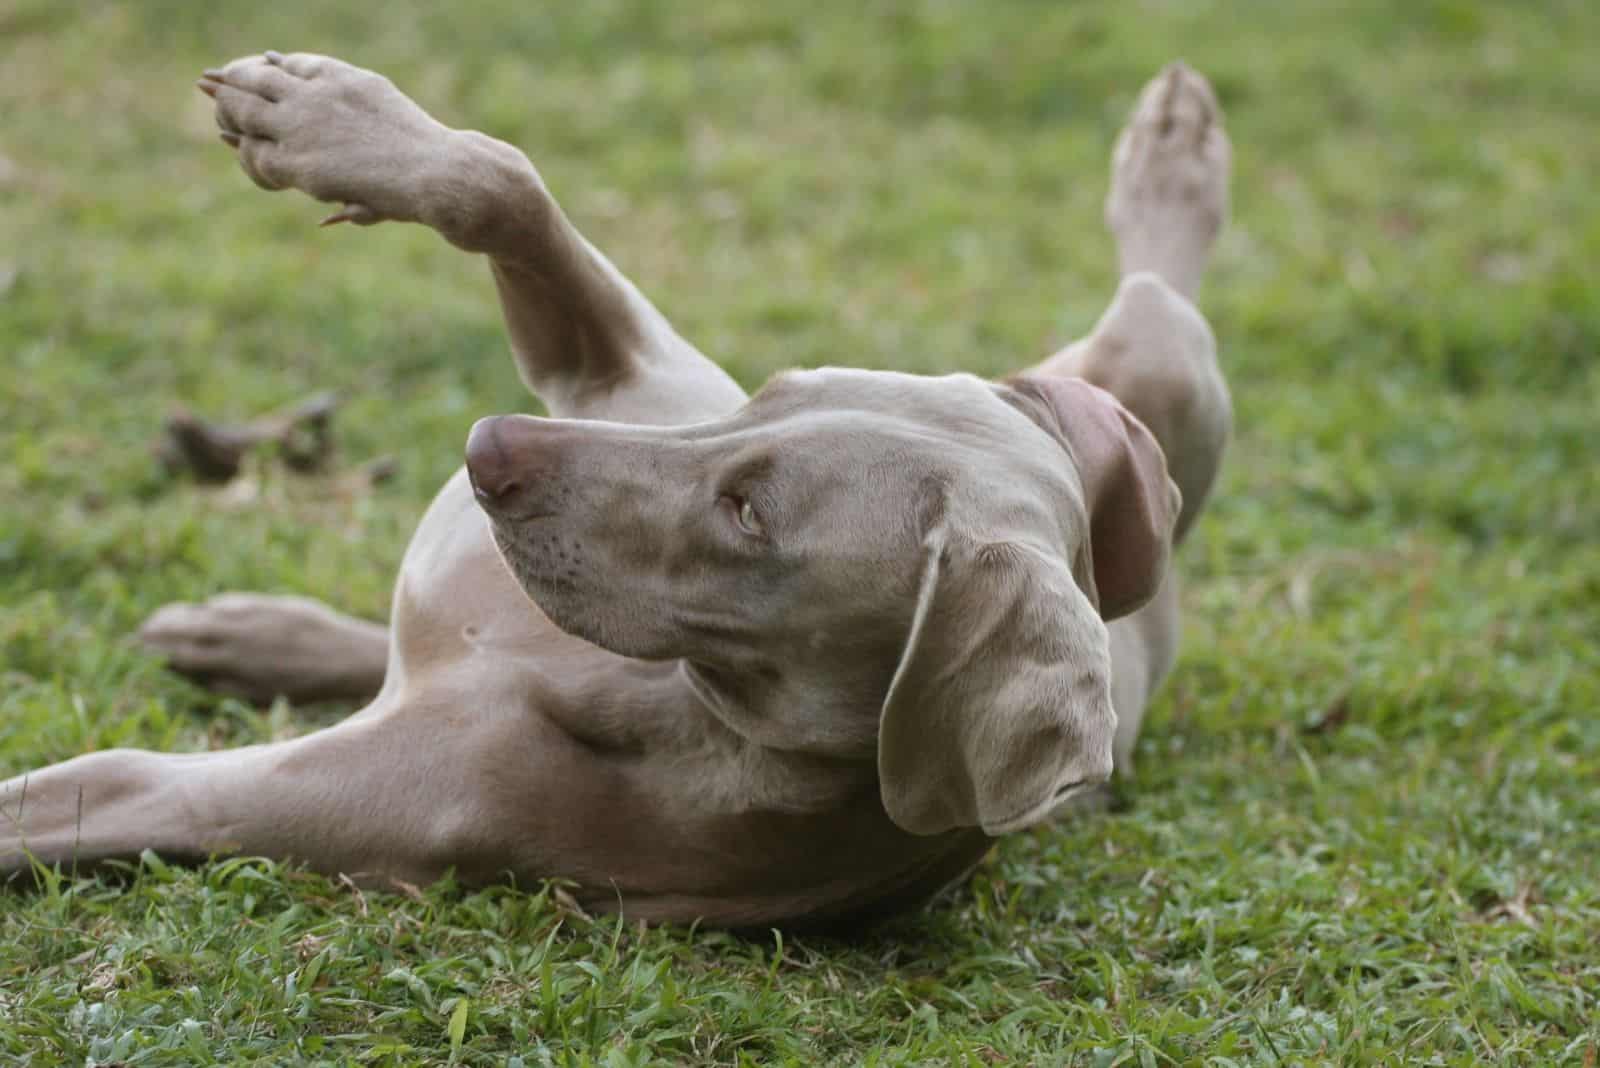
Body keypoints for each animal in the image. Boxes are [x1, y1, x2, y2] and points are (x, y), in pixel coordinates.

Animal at [0, 56, 1228, 927]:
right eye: (769, 393)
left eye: (750, 513)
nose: (486, 447)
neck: (660, 691)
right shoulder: (617, 379)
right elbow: (506, 186)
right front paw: (325, 119)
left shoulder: (264, 801)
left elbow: (85, 783)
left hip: (1176, 379)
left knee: (1161, 287)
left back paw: (1172, 171)